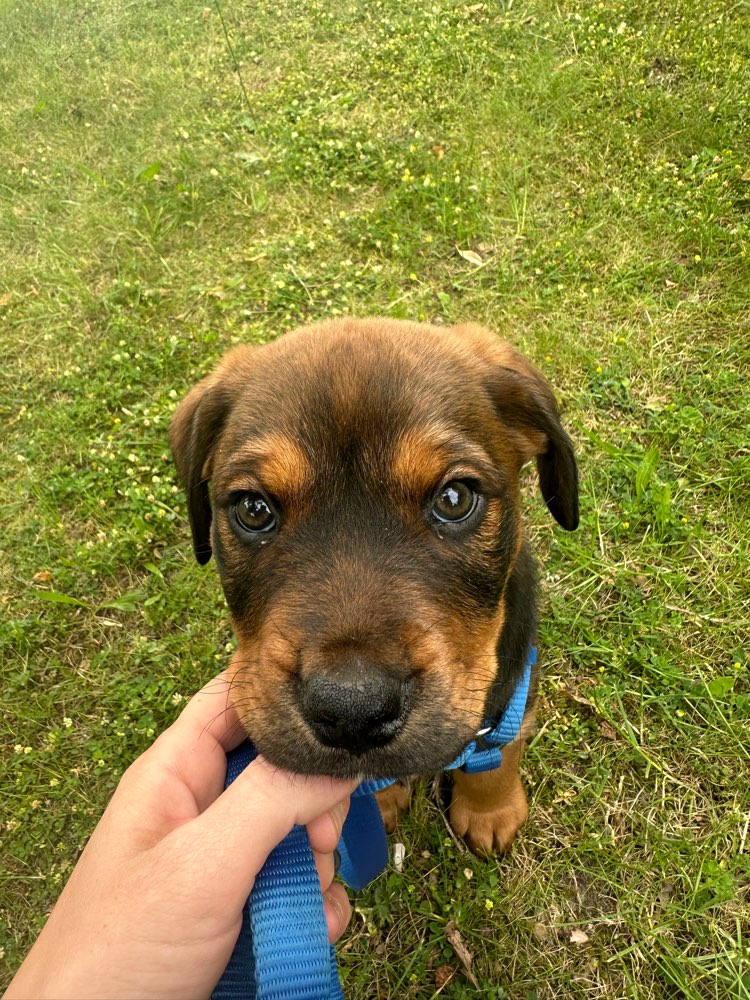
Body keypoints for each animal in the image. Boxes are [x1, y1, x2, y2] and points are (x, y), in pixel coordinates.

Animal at [172, 318, 580, 852]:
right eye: (253, 509)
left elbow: (498, 755)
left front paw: (491, 811)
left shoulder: (513, 690)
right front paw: (380, 804)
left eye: (454, 498)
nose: (353, 712)